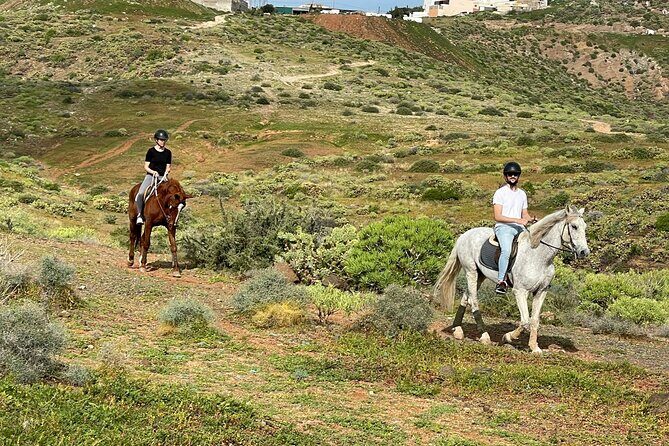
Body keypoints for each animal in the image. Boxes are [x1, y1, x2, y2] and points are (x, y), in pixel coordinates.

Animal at [433, 205, 590, 354]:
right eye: (574, 226)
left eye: (585, 227)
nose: (584, 252)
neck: (538, 255)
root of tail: (464, 235)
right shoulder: (520, 291)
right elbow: (525, 321)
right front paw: (507, 337)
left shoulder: (541, 292)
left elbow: (534, 321)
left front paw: (534, 347)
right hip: (471, 271)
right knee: (474, 301)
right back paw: (484, 336)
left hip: (479, 275)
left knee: (466, 297)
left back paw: (458, 330)